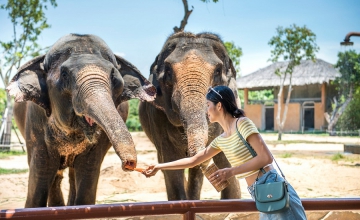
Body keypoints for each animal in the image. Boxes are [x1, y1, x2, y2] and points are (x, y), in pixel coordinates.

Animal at [6, 33, 156, 207]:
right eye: (64, 74)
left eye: (114, 77)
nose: (129, 164)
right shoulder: (36, 123)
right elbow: (40, 179)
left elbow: (87, 178)